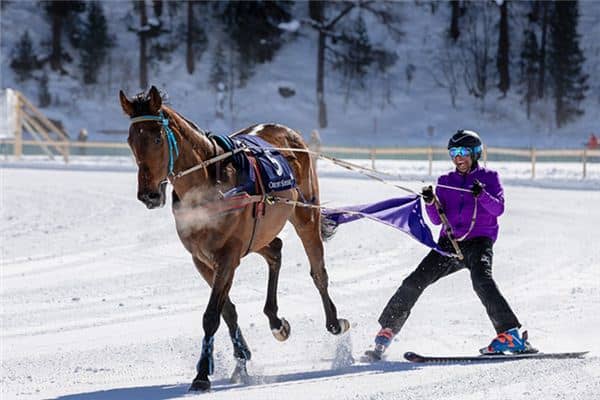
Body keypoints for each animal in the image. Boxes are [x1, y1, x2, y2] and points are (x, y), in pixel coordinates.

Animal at [119, 86, 350, 390]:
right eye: (130, 140)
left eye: (157, 138)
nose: (148, 195)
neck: (210, 184)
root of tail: (288, 132)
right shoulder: (203, 259)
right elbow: (227, 310)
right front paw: (241, 359)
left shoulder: (227, 256)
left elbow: (211, 315)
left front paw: (202, 374)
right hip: (259, 233)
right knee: (275, 250)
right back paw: (276, 321)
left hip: (304, 214)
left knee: (318, 271)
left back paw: (334, 322)